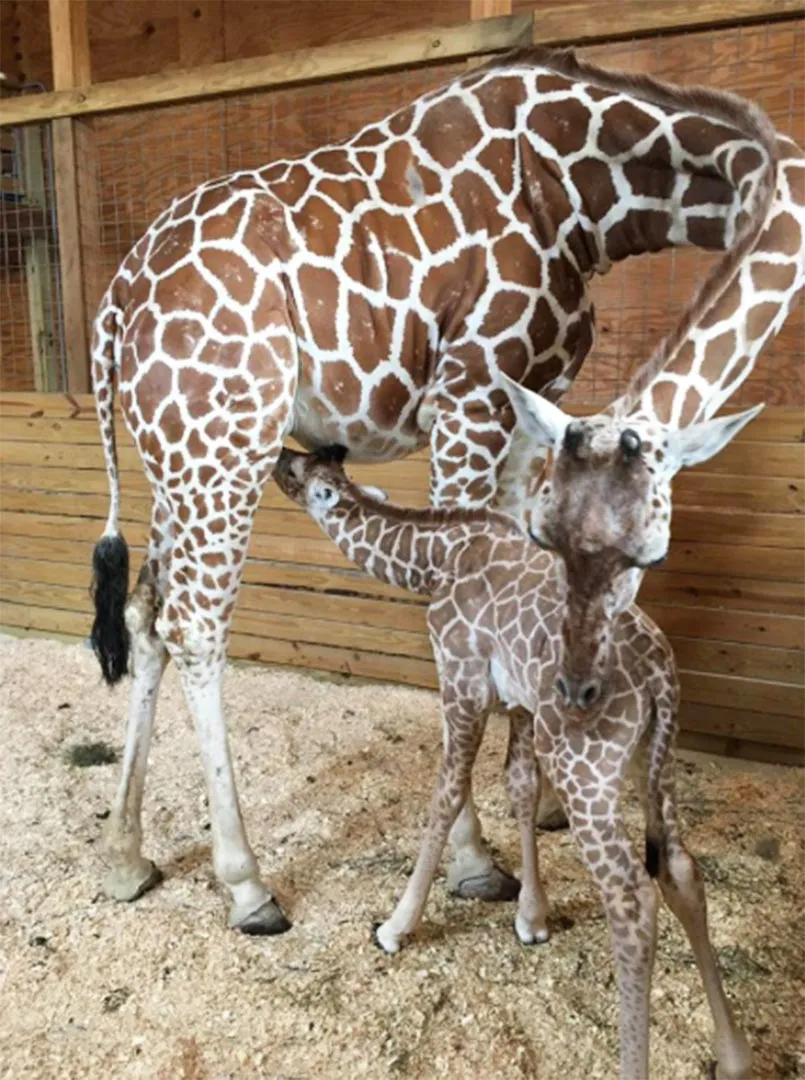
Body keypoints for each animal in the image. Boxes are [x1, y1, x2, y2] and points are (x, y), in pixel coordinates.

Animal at [272, 444, 753, 1080]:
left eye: (300, 473)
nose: (277, 456)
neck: (435, 562)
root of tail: (658, 673)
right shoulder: (523, 705)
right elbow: (519, 789)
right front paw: (532, 918)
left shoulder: (462, 681)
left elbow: (446, 794)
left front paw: (396, 927)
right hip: (656, 757)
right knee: (679, 869)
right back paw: (734, 1056)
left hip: (584, 766)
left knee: (631, 895)